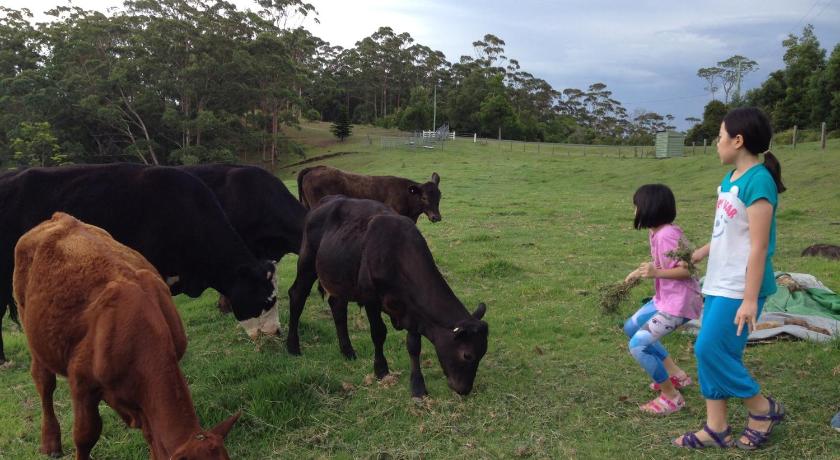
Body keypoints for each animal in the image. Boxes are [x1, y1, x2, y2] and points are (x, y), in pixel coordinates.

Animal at [13, 213, 239, 459]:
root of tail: (60, 218)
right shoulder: (82, 383)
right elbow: (85, 435)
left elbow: (152, 434)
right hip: (32, 334)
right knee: (44, 383)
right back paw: (50, 442)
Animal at [286, 196, 488, 397]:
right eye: (467, 355)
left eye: (483, 353)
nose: (464, 389)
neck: (397, 253)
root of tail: (327, 200)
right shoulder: (371, 300)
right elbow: (378, 333)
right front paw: (381, 369)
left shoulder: (413, 309)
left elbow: (414, 345)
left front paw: (417, 386)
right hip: (307, 262)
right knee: (297, 295)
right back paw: (292, 347)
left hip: (340, 278)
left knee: (337, 306)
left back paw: (348, 351)